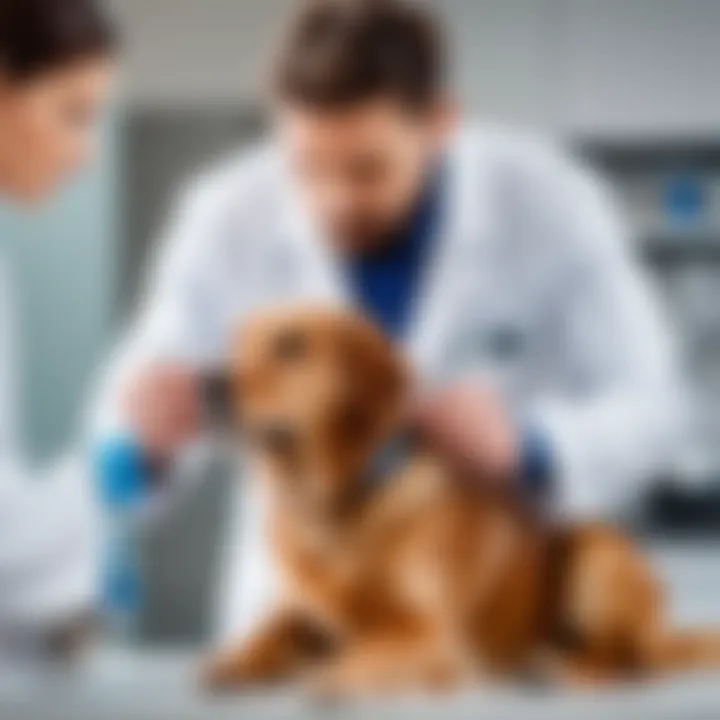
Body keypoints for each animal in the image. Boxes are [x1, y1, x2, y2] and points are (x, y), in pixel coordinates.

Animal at [202, 306, 720, 696]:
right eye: (236, 341)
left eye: (293, 344)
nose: (210, 383)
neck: (335, 503)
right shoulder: (301, 611)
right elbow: (270, 631)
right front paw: (237, 660)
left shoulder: (431, 633)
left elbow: (374, 647)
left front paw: (338, 673)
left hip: (595, 546)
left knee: (631, 657)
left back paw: (574, 669)